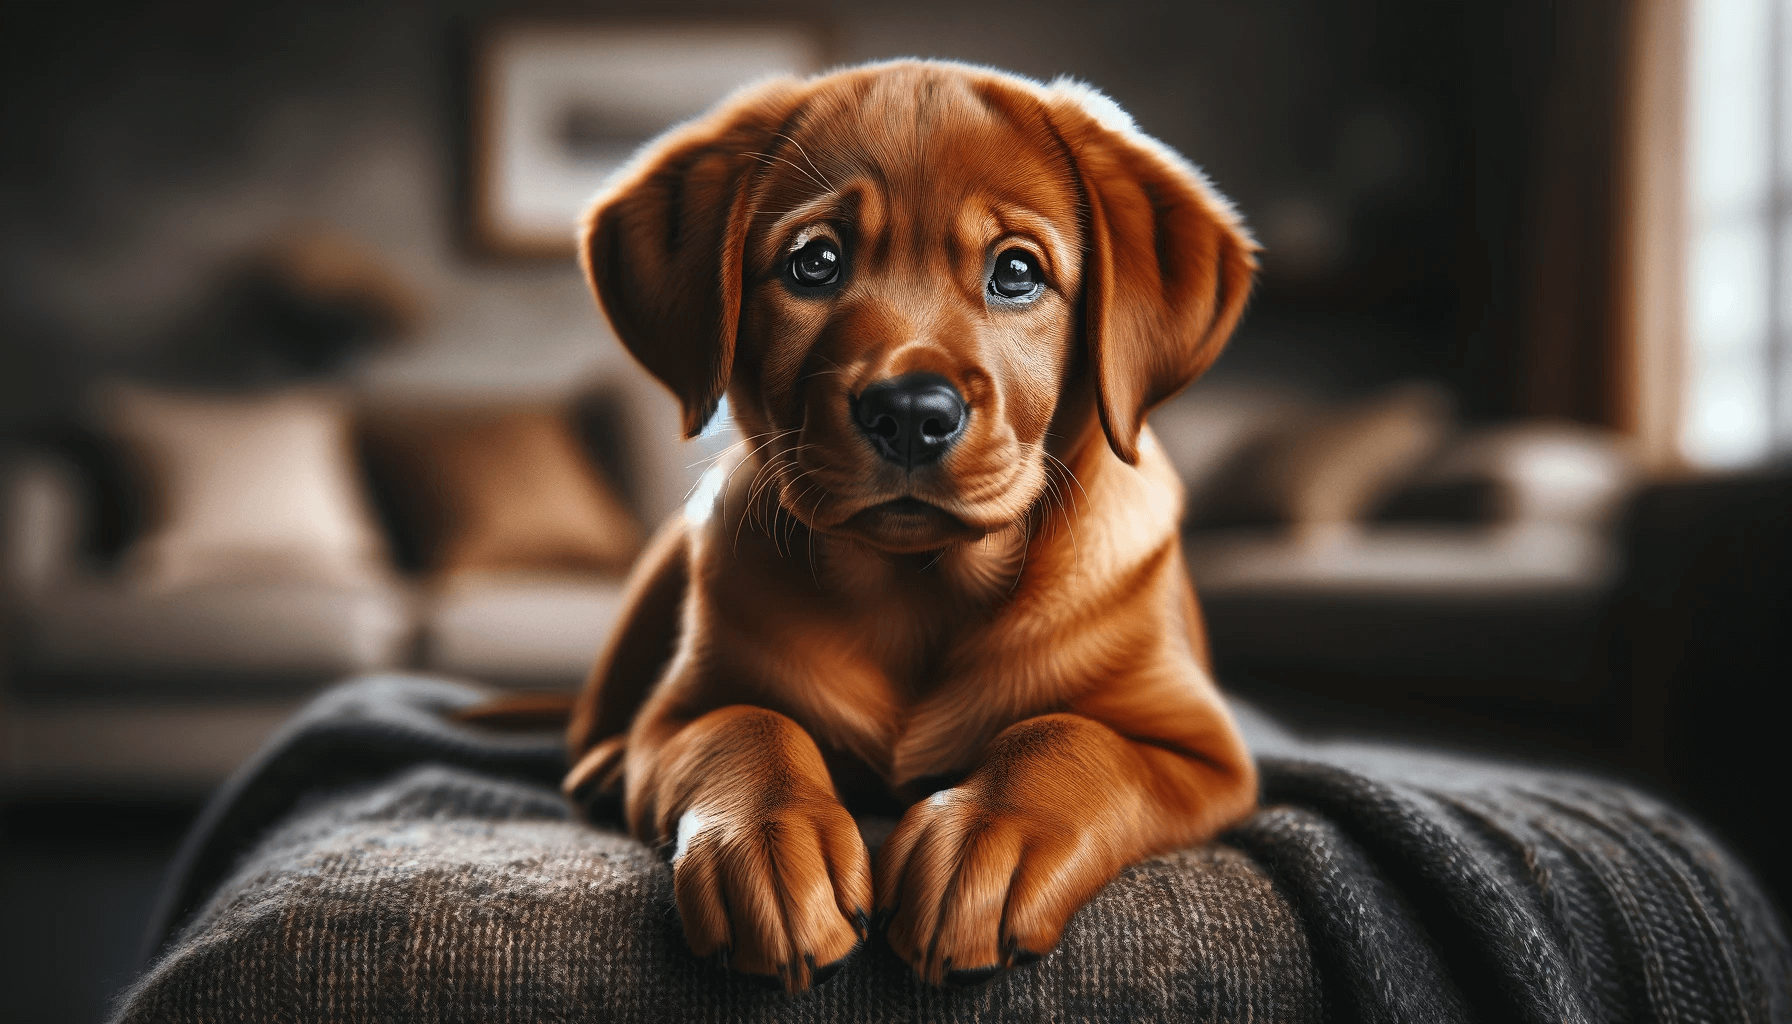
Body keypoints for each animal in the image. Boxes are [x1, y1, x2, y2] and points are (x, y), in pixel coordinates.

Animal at [566, 60, 1254, 997]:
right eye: (815, 263)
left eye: (1016, 271)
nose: (910, 415)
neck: (917, 583)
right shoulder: (678, 717)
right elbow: (743, 725)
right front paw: (771, 847)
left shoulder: (1201, 751)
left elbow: (1074, 736)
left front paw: (988, 842)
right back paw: (603, 767)